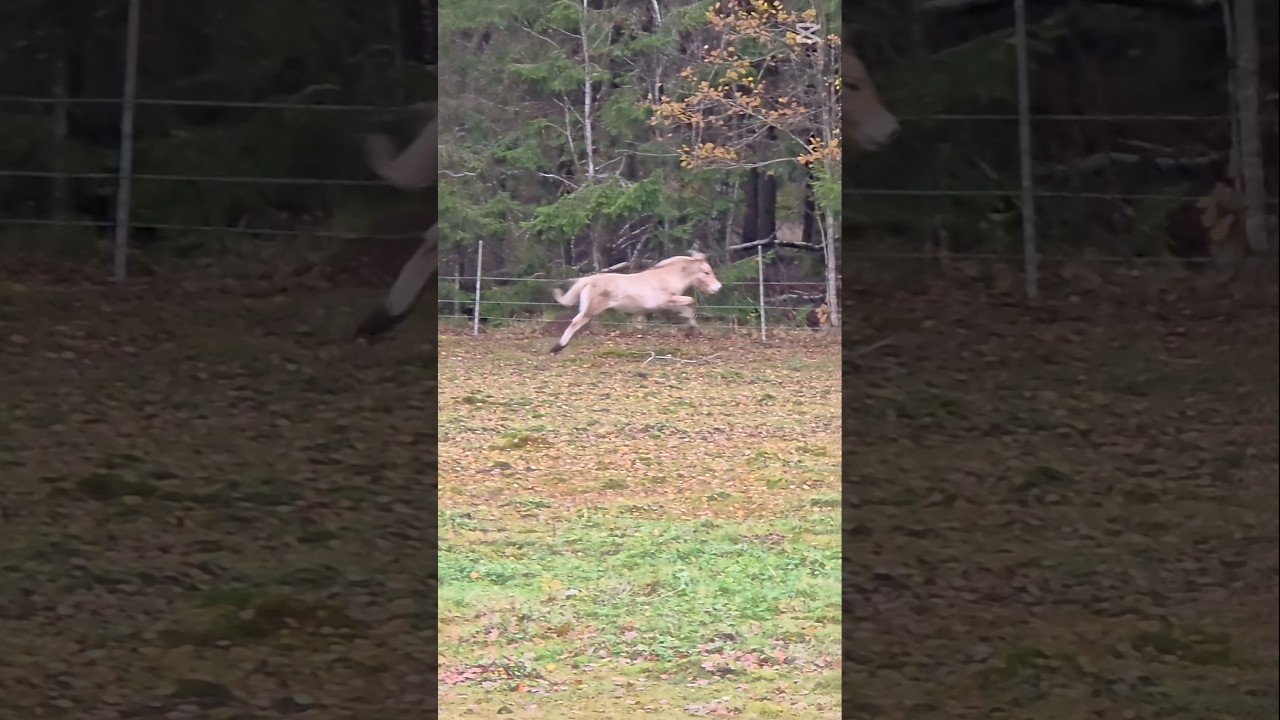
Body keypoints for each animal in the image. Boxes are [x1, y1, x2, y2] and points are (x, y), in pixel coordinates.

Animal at [548, 252, 723, 354]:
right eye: (706, 272)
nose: (718, 287)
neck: (666, 277)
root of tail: (589, 279)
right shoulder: (666, 300)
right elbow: (690, 302)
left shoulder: (670, 303)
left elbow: (686, 310)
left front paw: (691, 329)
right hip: (591, 310)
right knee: (575, 323)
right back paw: (557, 348)